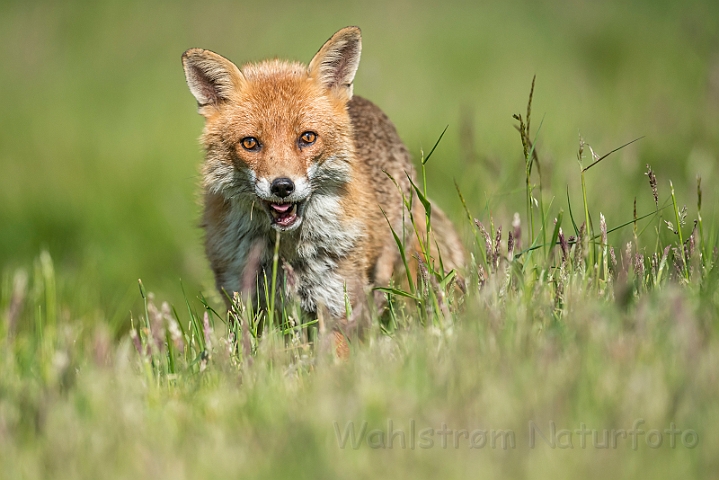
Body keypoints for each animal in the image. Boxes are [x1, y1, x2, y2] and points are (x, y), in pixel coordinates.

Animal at [183, 28, 464, 332]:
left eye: (307, 137)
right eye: (250, 143)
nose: (282, 186)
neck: (284, 252)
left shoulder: (336, 300)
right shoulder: (243, 302)